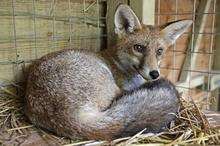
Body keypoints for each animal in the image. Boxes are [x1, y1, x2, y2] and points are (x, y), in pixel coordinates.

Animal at [24, 4, 192, 140]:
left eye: (159, 51)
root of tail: (67, 117)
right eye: (138, 48)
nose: (154, 74)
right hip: (107, 81)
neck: (119, 64)